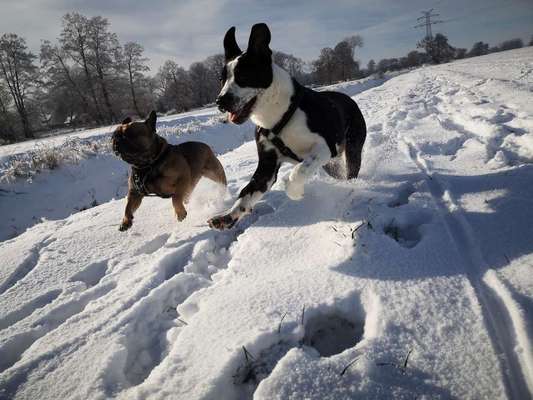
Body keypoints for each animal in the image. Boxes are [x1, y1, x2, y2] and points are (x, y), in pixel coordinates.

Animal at [208, 23, 366, 230]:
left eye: (244, 75)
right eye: (221, 79)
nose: (220, 101)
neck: (279, 116)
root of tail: (349, 99)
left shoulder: (325, 147)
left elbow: (299, 171)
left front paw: (294, 192)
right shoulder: (266, 167)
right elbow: (246, 194)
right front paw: (227, 216)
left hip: (352, 147)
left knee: (351, 170)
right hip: (330, 164)